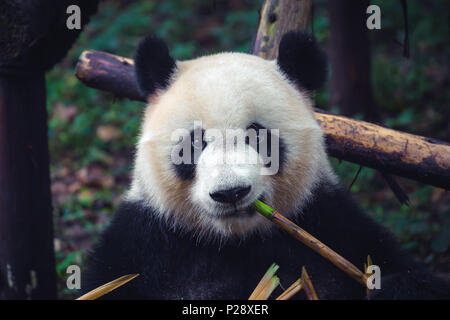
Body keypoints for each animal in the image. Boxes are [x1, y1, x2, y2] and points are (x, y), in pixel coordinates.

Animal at [82, 31, 448, 298]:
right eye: (195, 142)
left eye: (258, 136)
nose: (230, 193)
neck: (235, 241)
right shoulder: (143, 245)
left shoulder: (332, 223)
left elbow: (404, 273)